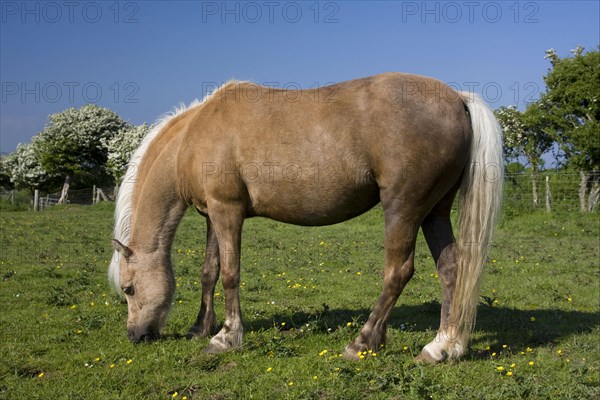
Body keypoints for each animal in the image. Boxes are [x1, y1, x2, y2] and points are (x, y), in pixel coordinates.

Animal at [109, 72, 502, 362]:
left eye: (129, 288)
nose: (135, 336)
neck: (194, 135)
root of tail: (458, 99)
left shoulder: (227, 210)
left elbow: (230, 274)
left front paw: (226, 337)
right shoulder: (212, 214)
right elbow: (210, 272)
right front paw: (199, 329)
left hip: (403, 208)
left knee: (398, 272)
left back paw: (362, 342)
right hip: (434, 212)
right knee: (451, 268)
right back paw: (442, 347)